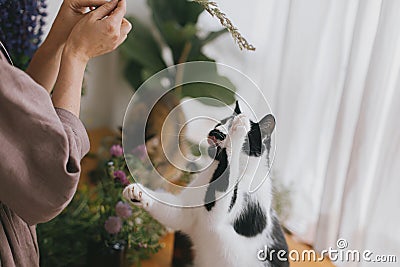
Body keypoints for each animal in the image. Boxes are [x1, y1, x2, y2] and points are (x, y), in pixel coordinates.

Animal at [123, 101, 290, 266]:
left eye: (229, 126)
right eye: (221, 123)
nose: (216, 132)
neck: (212, 174)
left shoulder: (217, 216)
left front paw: (239, 128)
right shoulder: (185, 213)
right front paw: (137, 192)